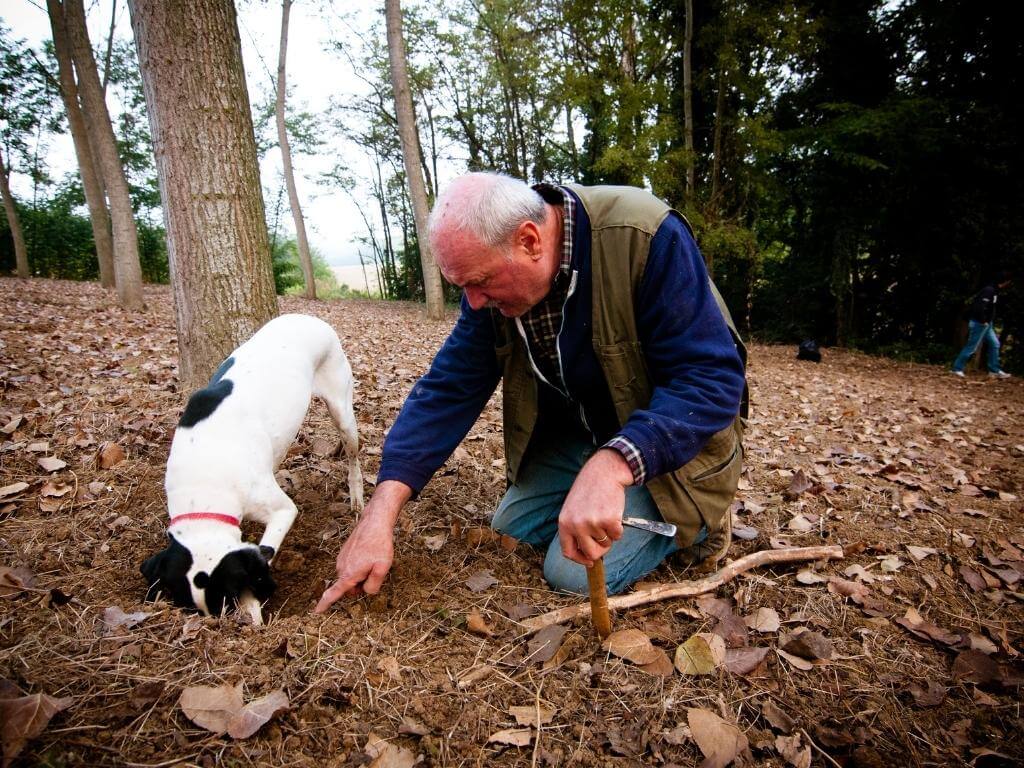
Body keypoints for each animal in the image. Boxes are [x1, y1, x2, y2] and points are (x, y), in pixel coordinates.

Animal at [140, 315, 364, 622]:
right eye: (192, 608)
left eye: (226, 596)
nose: (217, 622)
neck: (205, 483)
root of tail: (309, 317)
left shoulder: (281, 510)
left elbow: (265, 551)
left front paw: (252, 607)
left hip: (341, 409)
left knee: (353, 454)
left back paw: (357, 496)